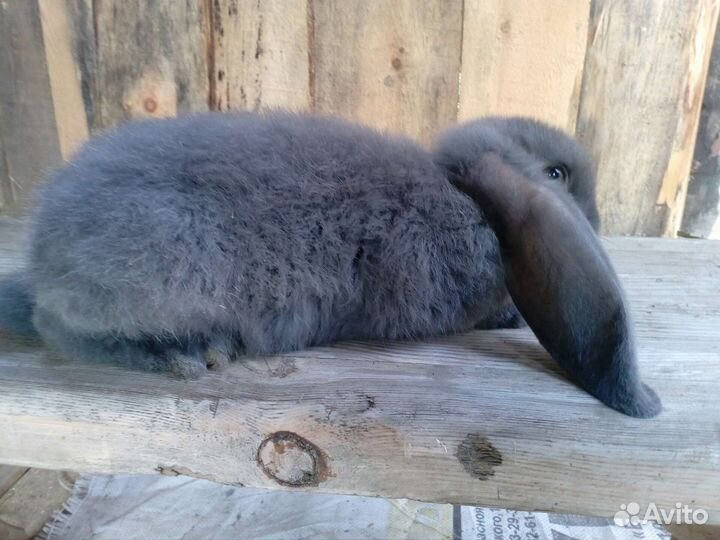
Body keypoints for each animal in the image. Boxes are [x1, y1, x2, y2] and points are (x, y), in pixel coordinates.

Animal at [0, 111, 660, 417]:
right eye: (556, 175)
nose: (595, 218)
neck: (466, 197)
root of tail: (41, 259)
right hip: (164, 269)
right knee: (60, 328)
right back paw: (185, 353)